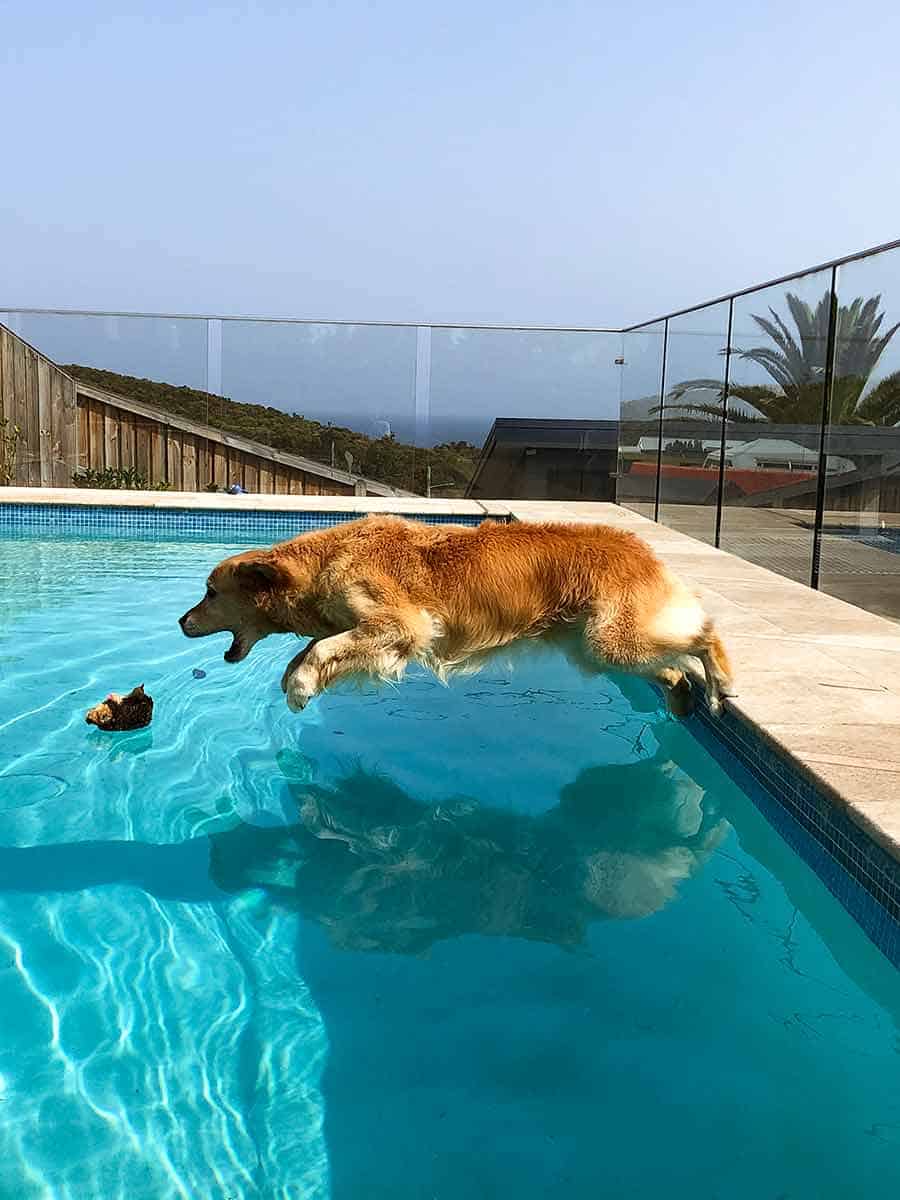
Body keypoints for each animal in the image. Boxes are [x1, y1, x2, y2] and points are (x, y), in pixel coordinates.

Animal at [177, 513, 734, 715]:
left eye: (209, 591)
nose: (182, 621)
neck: (324, 562)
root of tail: (641, 548)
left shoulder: (403, 625)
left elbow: (322, 647)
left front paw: (300, 684)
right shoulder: (368, 631)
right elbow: (316, 648)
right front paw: (300, 679)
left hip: (610, 640)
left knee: (703, 634)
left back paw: (720, 683)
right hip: (595, 649)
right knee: (672, 667)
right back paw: (684, 699)